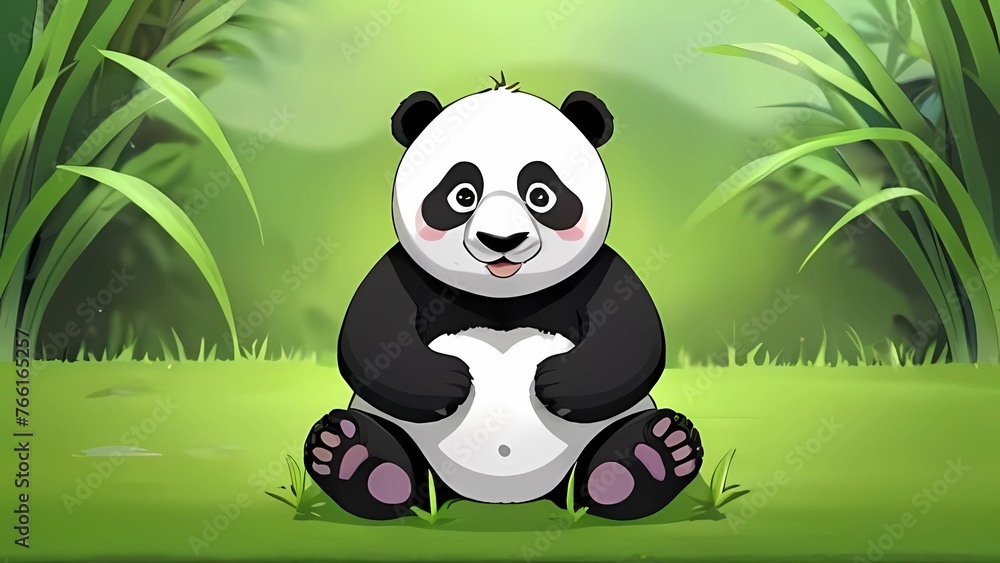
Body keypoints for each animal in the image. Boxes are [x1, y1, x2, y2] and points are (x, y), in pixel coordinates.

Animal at [304, 76, 703, 521]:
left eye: (541, 195)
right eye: (462, 195)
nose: (502, 240)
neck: (502, 296)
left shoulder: (600, 272)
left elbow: (631, 339)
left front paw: (555, 382)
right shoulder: (402, 271)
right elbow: (373, 340)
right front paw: (450, 381)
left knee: (606, 458)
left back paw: (648, 458)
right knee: (397, 462)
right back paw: (356, 459)